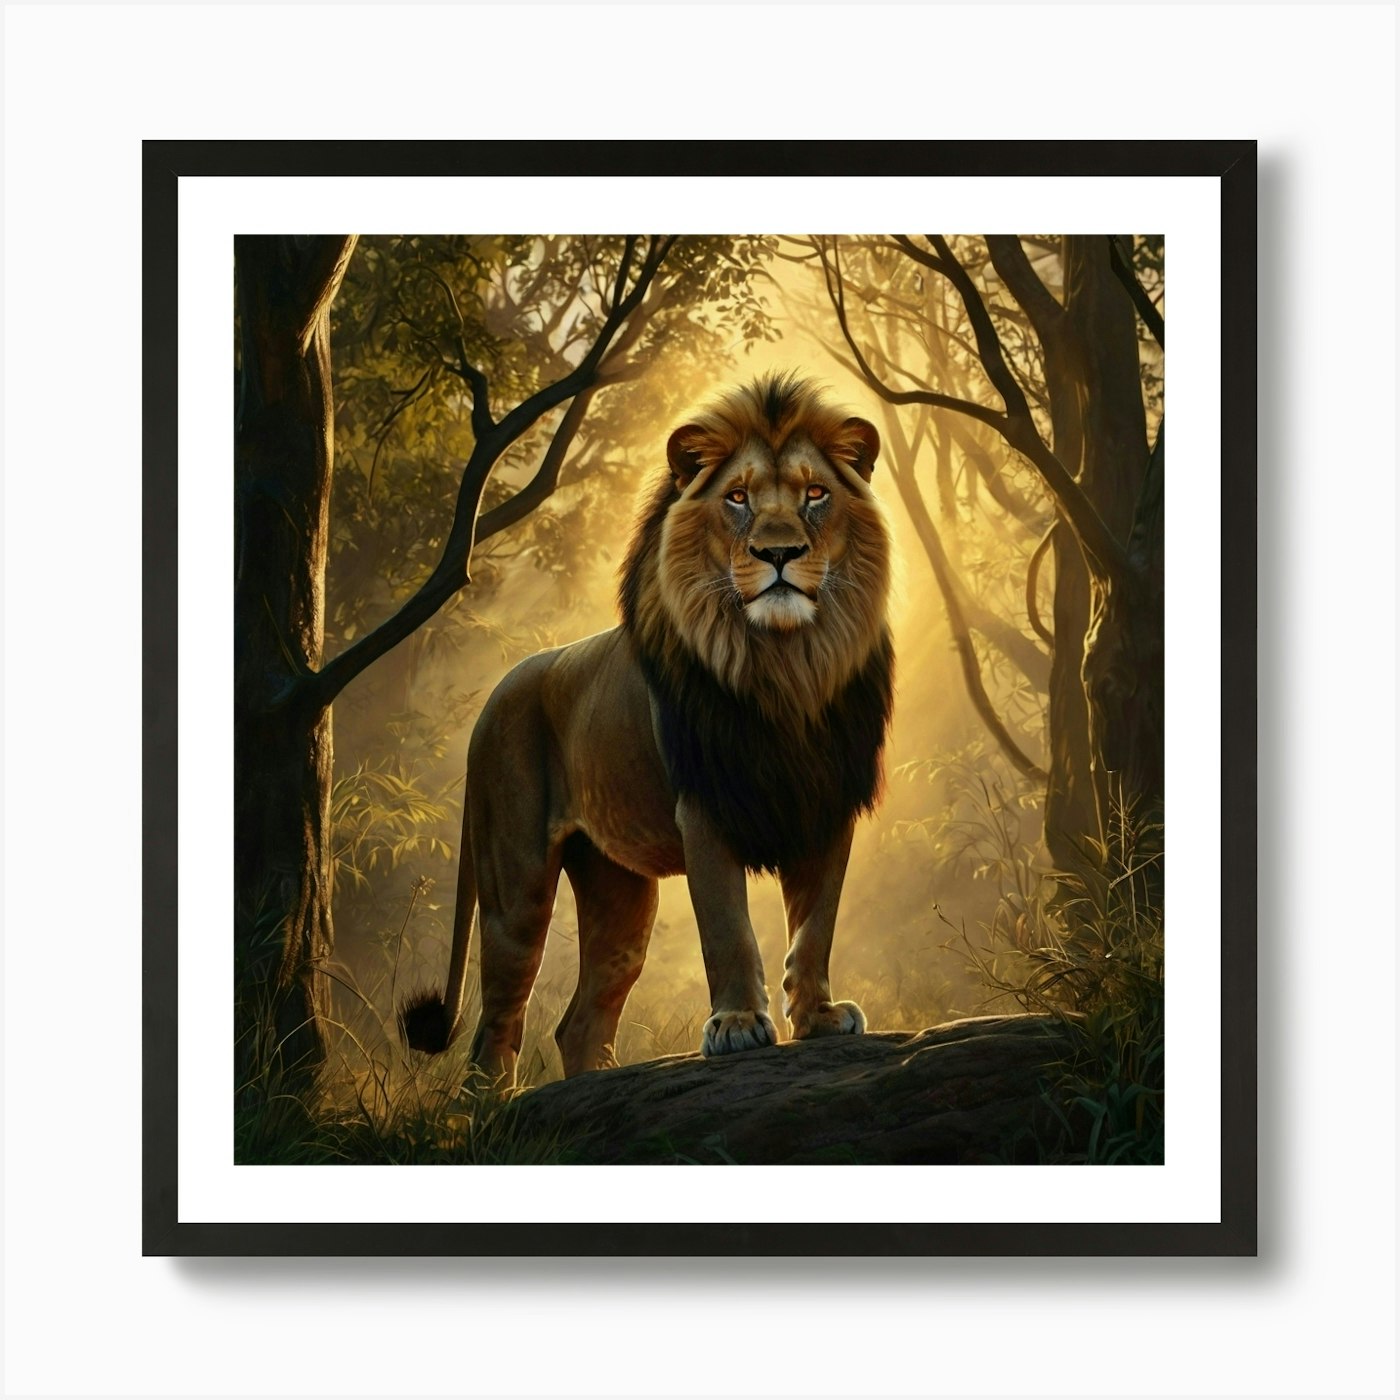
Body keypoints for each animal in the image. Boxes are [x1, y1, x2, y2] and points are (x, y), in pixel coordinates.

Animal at [400, 372, 894, 1085]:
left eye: (816, 494)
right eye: (738, 497)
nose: (779, 552)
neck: (786, 665)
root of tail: (498, 691)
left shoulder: (826, 803)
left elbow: (815, 926)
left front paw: (821, 1018)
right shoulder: (704, 809)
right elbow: (727, 927)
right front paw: (738, 1026)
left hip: (619, 893)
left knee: (580, 1021)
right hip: (514, 887)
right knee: (496, 1028)